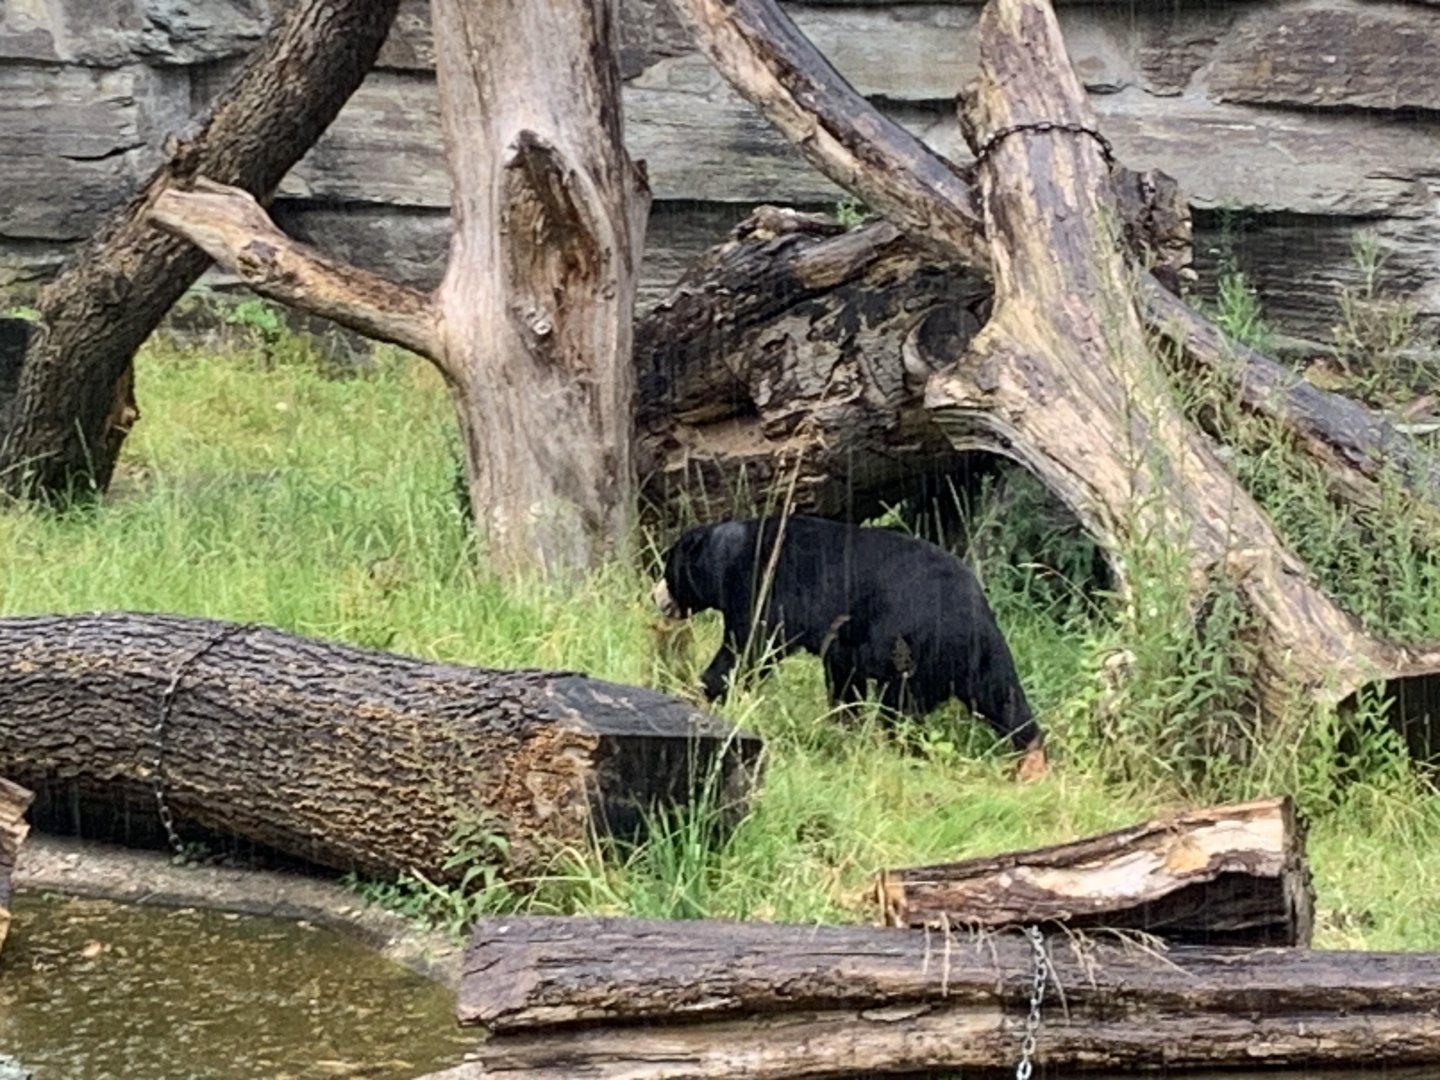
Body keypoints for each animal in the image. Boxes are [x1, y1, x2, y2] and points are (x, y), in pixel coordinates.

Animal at [653, 515, 1045, 771]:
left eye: (667, 568)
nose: (655, 596)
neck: (728, 555)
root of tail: (973, 617)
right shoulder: (841, 639)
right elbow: (843, 678)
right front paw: (844, 722)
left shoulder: (769, 588)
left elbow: (750, 647)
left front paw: (699, 690)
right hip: (982, 657)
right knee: (1004, 698)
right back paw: (1031, 760)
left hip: (911, 653)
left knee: (901, 708)